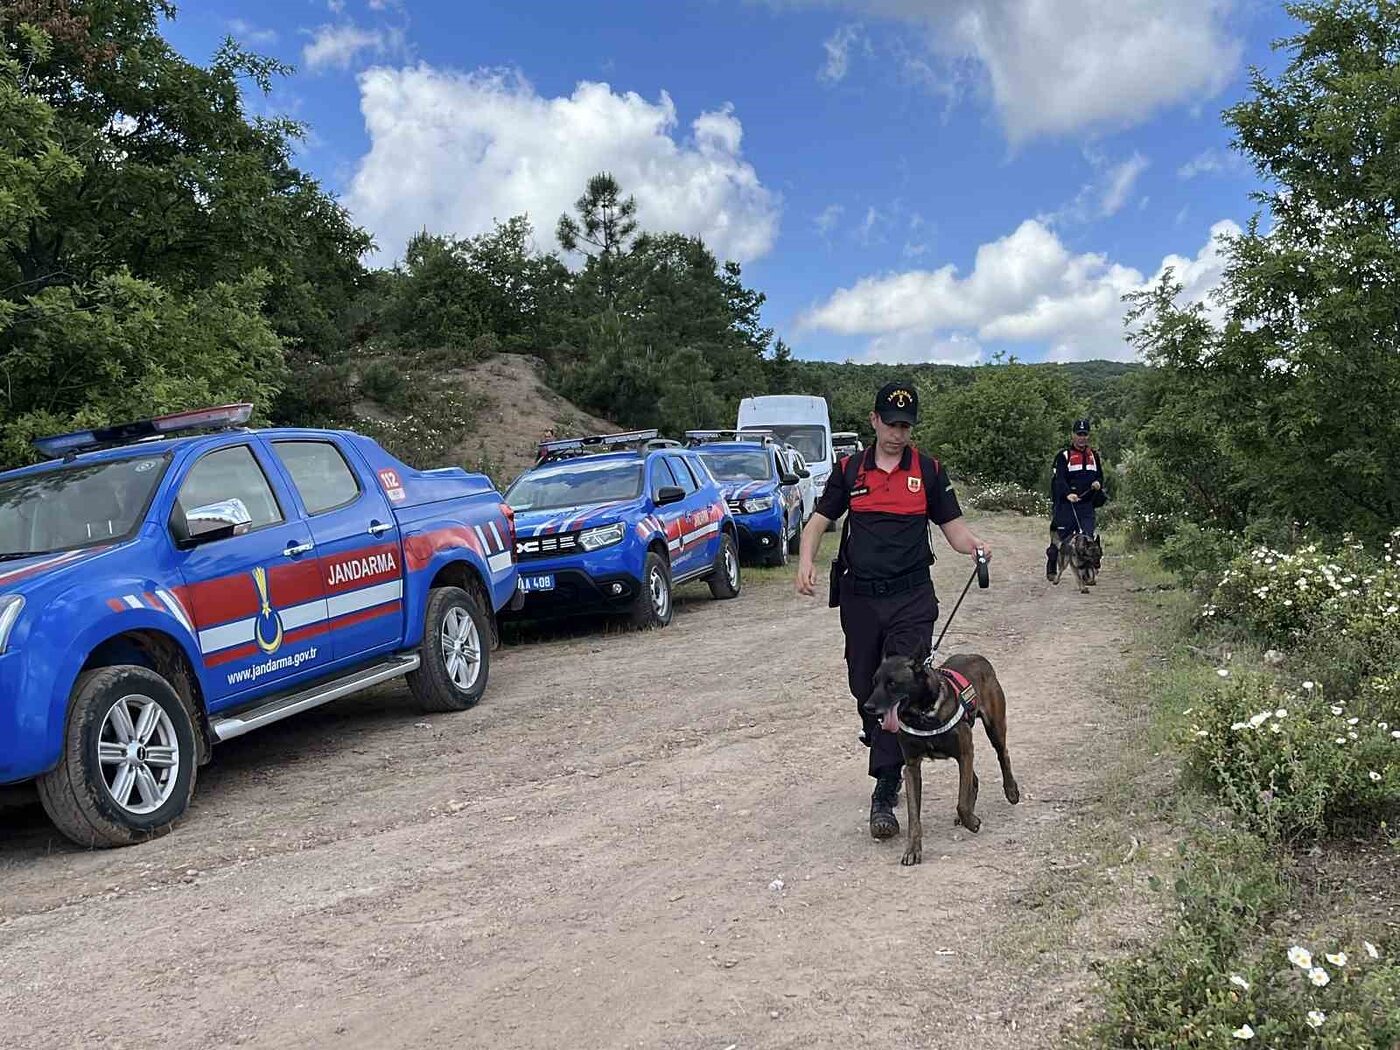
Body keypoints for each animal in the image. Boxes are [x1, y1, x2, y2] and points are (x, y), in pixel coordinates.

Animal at [862, 655, 1019, 868]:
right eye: (874, 682)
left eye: (892, 683)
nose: (868, 707)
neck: (922, 714)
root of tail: (978, 657)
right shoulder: (912, 767)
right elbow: (914, 816)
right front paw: (912, 850)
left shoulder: (965, 753)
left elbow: (961, 803)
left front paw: (972, 822)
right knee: (973, 779)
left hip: (995, 728)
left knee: (1003, 755)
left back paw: (1011, 791)